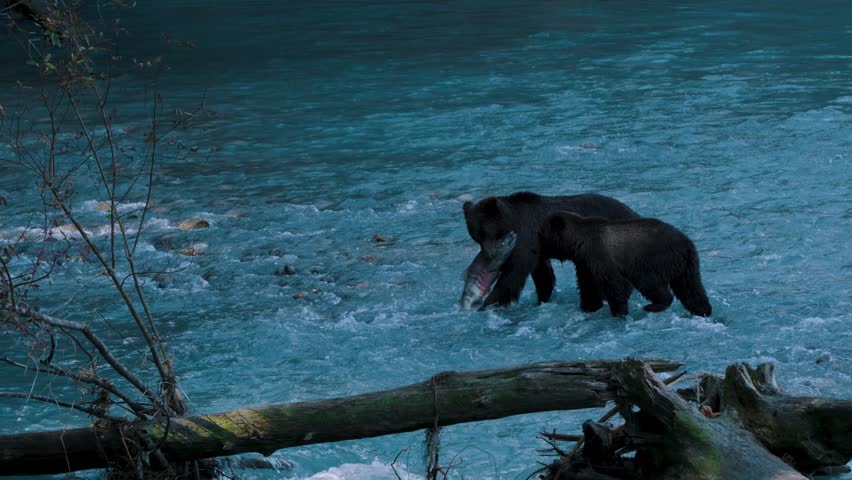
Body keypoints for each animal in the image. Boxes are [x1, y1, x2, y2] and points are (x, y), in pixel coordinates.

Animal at [462, 192, 640, 308]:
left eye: (487, 233)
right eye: (477, 236)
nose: (488, 255)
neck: (512, 222)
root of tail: (635, 214)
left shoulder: (526, 238)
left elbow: (513, 274)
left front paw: (487, 304)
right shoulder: (537, 250)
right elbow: (543, 275)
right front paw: (542, 299)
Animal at [538, 211, 712, 317]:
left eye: (541, 234)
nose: (538, 250)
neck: (579, 243)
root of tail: (686, 245)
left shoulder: (601, 255)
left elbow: (615, 284)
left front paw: (618, 312)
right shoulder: (584, 264)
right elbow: (588, 286)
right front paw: (589, 307)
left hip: (652, 259)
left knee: (649, 283)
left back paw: (653, 305)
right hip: (687, 266)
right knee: (691, 289)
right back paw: (703, 311)